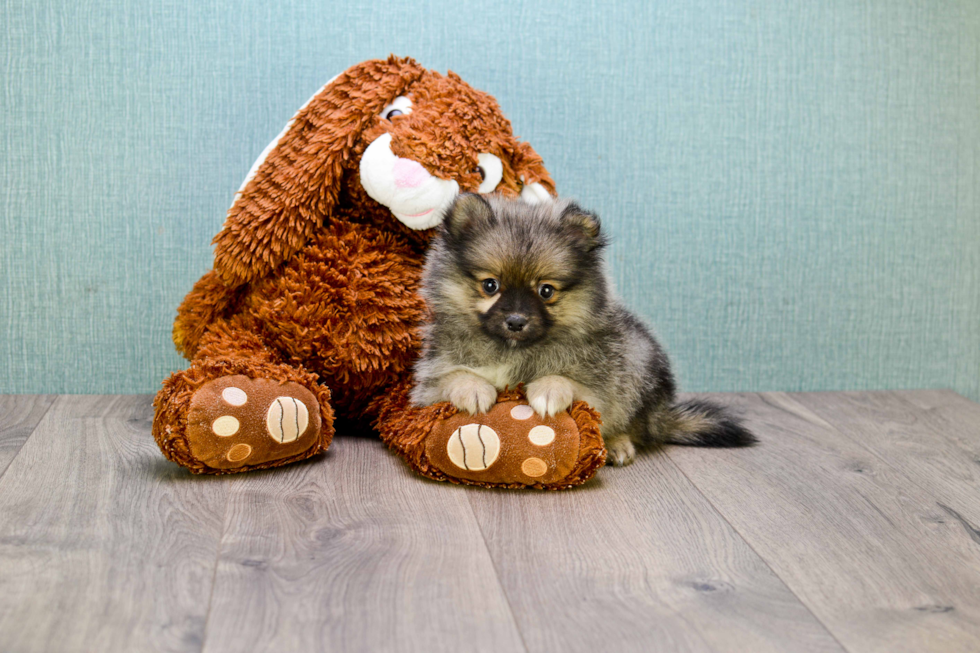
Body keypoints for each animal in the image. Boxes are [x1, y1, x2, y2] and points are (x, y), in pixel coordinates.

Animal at [410, 192, 756, 464]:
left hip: (638, 364)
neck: (514, 351)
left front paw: (549, 389)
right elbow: (454, 376)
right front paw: (474, 389)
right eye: (490, 285)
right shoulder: (428, 386)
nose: (516, 321)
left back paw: (617, 445)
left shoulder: (600, 385)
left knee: (632, 426)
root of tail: (663, 417)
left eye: (546, 291)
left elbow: (570, 382)